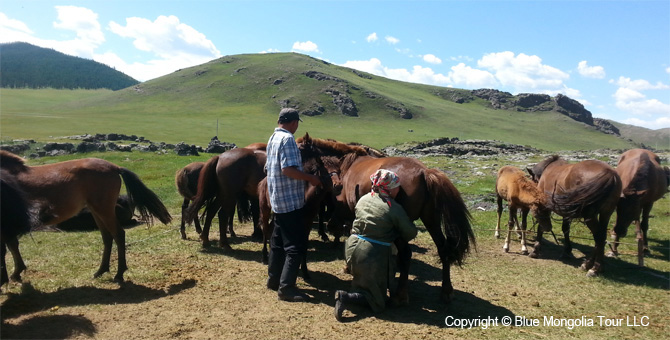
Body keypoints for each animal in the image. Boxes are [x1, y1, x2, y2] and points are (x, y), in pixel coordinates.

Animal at [0, 151, 173, 282]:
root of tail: (114, 167)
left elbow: (10, 247)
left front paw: (14, 273)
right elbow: (12, 245)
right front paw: (16, 272)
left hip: (103, 210)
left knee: (118, 234)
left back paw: (119, 273)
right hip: (97, 211)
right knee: (107, 237)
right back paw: (101, 270)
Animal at [302, 134, 476, 304]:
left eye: (331, 195)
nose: (330, 227)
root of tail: (424, 173)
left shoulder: (353, 212)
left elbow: (353, 234)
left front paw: (347, 266)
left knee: (406, 254)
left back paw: (401, 294)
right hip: (431, 220)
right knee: (443, 249)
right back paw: (446, 291)